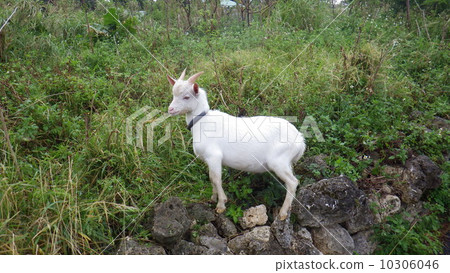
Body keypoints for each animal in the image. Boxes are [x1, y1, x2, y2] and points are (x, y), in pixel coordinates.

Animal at [169, 69, 306, 219]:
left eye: (186, 97)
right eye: (173, 94)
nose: (170, 109)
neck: (202, 122)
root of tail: (300, 139)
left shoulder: (214, 156)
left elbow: (216, 179)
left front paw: (221, 205)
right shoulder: (208, 160)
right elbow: (211, 178)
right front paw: (213, 198)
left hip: (278, 161)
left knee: (292, 182)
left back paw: (282, 213)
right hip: (287, 163)